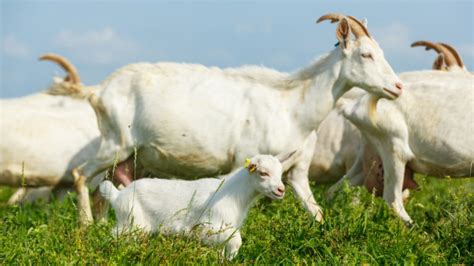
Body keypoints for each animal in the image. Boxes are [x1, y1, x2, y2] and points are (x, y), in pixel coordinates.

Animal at [100, 152, 296, 260]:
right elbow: (236, 239)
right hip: (132, 222)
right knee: (114, 236)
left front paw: (224, 259)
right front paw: (231, 258)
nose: (280, 190)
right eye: (263, 173)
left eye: (280, 172)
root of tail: (118, 196)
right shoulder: (210, 226)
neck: (233, 193)